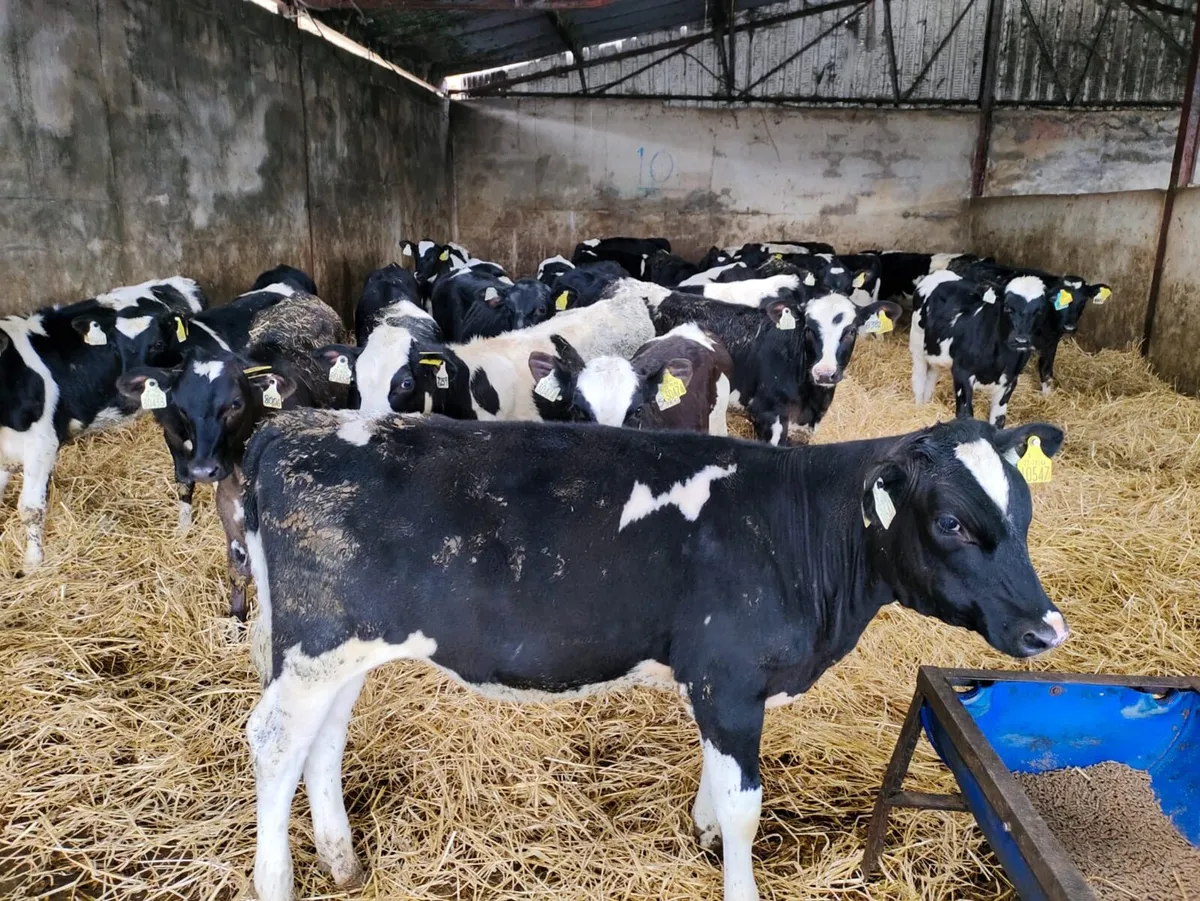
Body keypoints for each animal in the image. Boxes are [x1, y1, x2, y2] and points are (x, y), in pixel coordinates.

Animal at [117, 293, 348, 620]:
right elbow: (238, 572)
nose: (203, 470)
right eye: (181, 406)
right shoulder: (230, 516)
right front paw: (236, 618)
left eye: (235, 404)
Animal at [240, 411, 1069, 901]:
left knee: (323, 741)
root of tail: (294, 424)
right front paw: (737, 878)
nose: (1047, 628)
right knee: (275, 740)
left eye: (1026, 511)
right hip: (315, 645)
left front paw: (700, 832)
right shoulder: (729, 677)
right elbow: (743, 801)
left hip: (342, 649)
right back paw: (277, 880)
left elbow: (716, 781)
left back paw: (343, 860)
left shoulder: (717, 682)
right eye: (952, 521)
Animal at [911, 271, 1051, 427]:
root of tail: (939, 273)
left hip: (935, 352)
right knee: (919, 380)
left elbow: (998, 420)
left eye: (1039, 311)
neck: (999, 360)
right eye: (1007, 307)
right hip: (917, 345)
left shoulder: (1010, 380)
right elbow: (965, 414)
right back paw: (919, 407)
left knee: (931, 377)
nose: (1021, 340)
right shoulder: (962, 372)